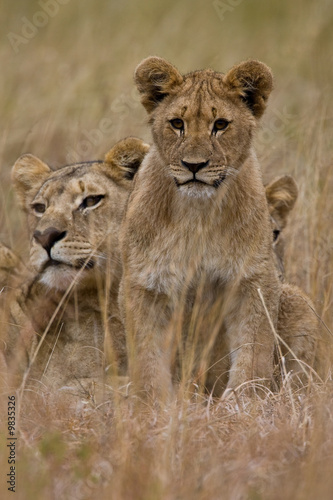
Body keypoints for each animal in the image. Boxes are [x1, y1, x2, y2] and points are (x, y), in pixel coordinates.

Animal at [119, 57, 282, 402]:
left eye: (220, 124)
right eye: (176, 123)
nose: (194, 165)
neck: (199, 215)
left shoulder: (254, 277)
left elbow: (255, 347)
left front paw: (244, 401)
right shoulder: (143, 282)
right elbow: (147, 354)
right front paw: (153, 405)